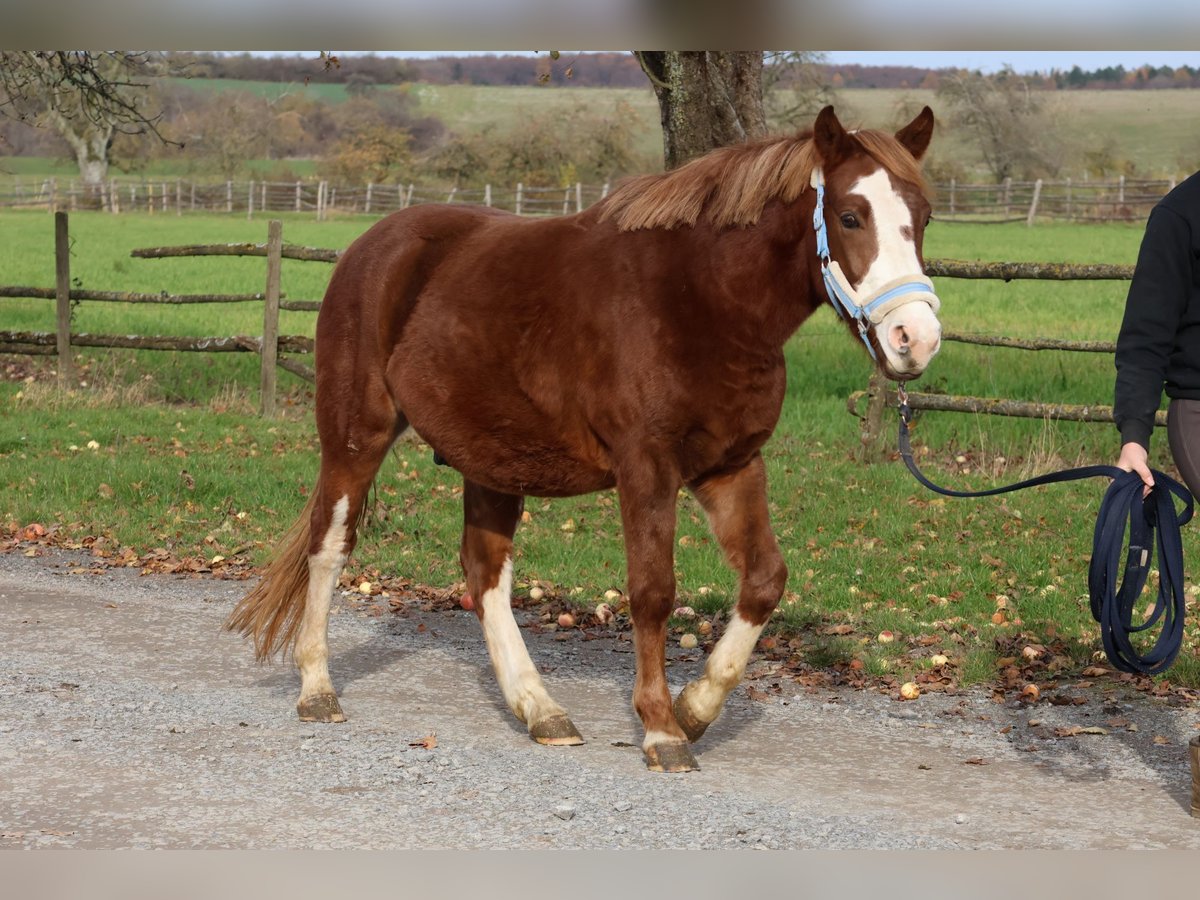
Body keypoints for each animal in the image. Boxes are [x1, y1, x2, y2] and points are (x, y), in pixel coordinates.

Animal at [226, 105, 942, 773]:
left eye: (925, 216)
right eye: (850, 216)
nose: (916, 339)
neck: (701, 301)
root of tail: (369, 247)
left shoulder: (732, 465)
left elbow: (765, 580)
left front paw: (695, 708)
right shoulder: (647, 466)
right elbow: (653, 592)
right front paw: (660, 728)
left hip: (493, 459)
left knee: (485, 573)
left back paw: (539, 708)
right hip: (356, 436)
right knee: (330, 546)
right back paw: (318, 689)